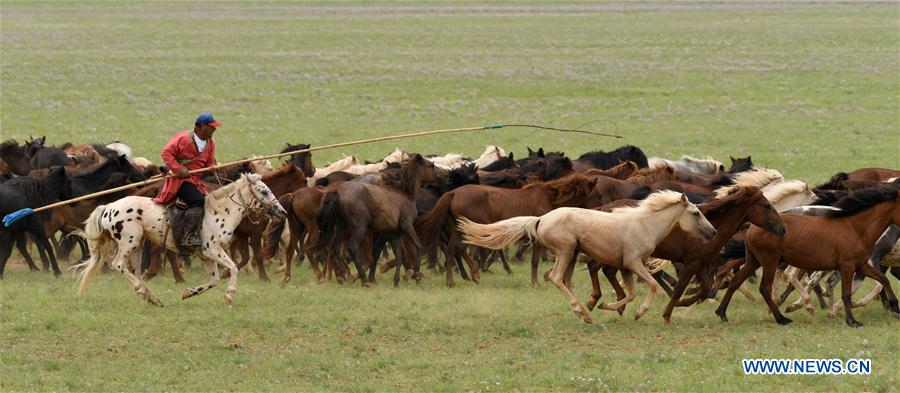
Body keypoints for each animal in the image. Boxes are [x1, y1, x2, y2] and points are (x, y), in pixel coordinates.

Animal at [74, 173, 284, 304]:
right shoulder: (212, 250)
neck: (220, 211)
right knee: (118, 265)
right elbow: (232, 267)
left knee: (136, 271)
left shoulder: (206, 256)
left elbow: (214, 280)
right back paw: (143, 291)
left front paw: (188, 293)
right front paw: (230, 295)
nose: (281, 211)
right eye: (264, 191)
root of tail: (108, 207)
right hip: (129, 241)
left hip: (138, 245)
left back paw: (151, 297)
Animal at [460, 190, 712, 322]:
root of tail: (541, 219)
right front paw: (638, 313)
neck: (644, 224)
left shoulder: (625, 267)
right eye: (695, 213)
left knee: (564, 280)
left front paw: (608, 306)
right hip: (565, 251)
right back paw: (582, 311)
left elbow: (630, 293)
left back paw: (584, 310)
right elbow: (651, 285)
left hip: (572, 255)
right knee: (556, 277)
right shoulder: (634, 263)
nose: (712, 231)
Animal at [716, 185, 900, 326]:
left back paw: (722, 313)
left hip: (754, 261)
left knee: (736, 280)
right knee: (765, 288)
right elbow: (847, 293)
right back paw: (782, 318)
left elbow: (883, 280)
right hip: (770, 261)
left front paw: (895, 307)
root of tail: (752, 226)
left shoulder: (861, 265)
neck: (856, 228)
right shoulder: (847, 266)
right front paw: (851, 321)